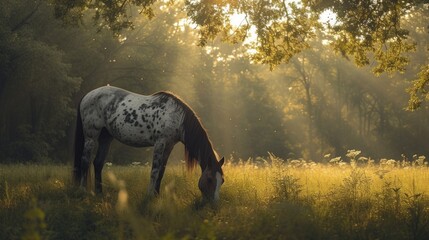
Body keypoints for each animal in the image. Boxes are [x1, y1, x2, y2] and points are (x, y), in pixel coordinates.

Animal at [73, 86, 224, 201]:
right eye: (209, 179)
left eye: (221, 181)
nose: (214, 203)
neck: (176, 117)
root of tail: (87, 95)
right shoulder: (160, 143)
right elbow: (155, 170)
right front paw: (150, 195)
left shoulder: (169, 145)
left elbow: (161, 171)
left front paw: (157, 195)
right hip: (91, 137)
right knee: (85, 161)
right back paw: (83, 191)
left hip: (106, 137)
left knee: (98, 163)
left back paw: (99, 193)